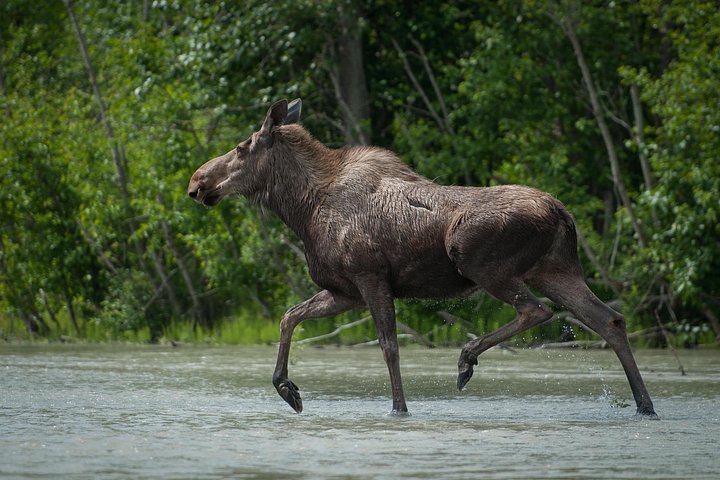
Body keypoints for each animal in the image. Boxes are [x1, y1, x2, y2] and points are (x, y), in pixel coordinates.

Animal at [188, 98, 657, 418]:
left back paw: (466, 360)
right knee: (610, 319)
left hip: (480, 262)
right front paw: (287, 388)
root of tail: (564, 213)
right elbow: (289, 317)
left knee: (536, 311)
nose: (196, 182)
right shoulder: (343, 290)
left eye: (242, 146)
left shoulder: (369, 277)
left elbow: (389, 346)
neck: (301, 208)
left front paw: (399, 408)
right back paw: (645, 405)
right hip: (554, 270)